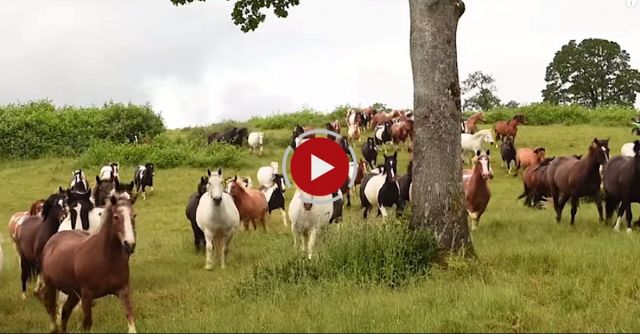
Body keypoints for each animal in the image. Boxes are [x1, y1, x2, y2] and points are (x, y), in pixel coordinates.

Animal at [38, 194, 138, 332]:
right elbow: (87, 324)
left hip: (73, 293)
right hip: (51, 286)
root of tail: (53, 239)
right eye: (116, 217)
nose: (130, 245)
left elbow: (131, 320)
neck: (106, 259)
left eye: (134, 216)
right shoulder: (87, 297)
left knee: (65, 312)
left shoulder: (123, 291)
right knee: (52, 310)